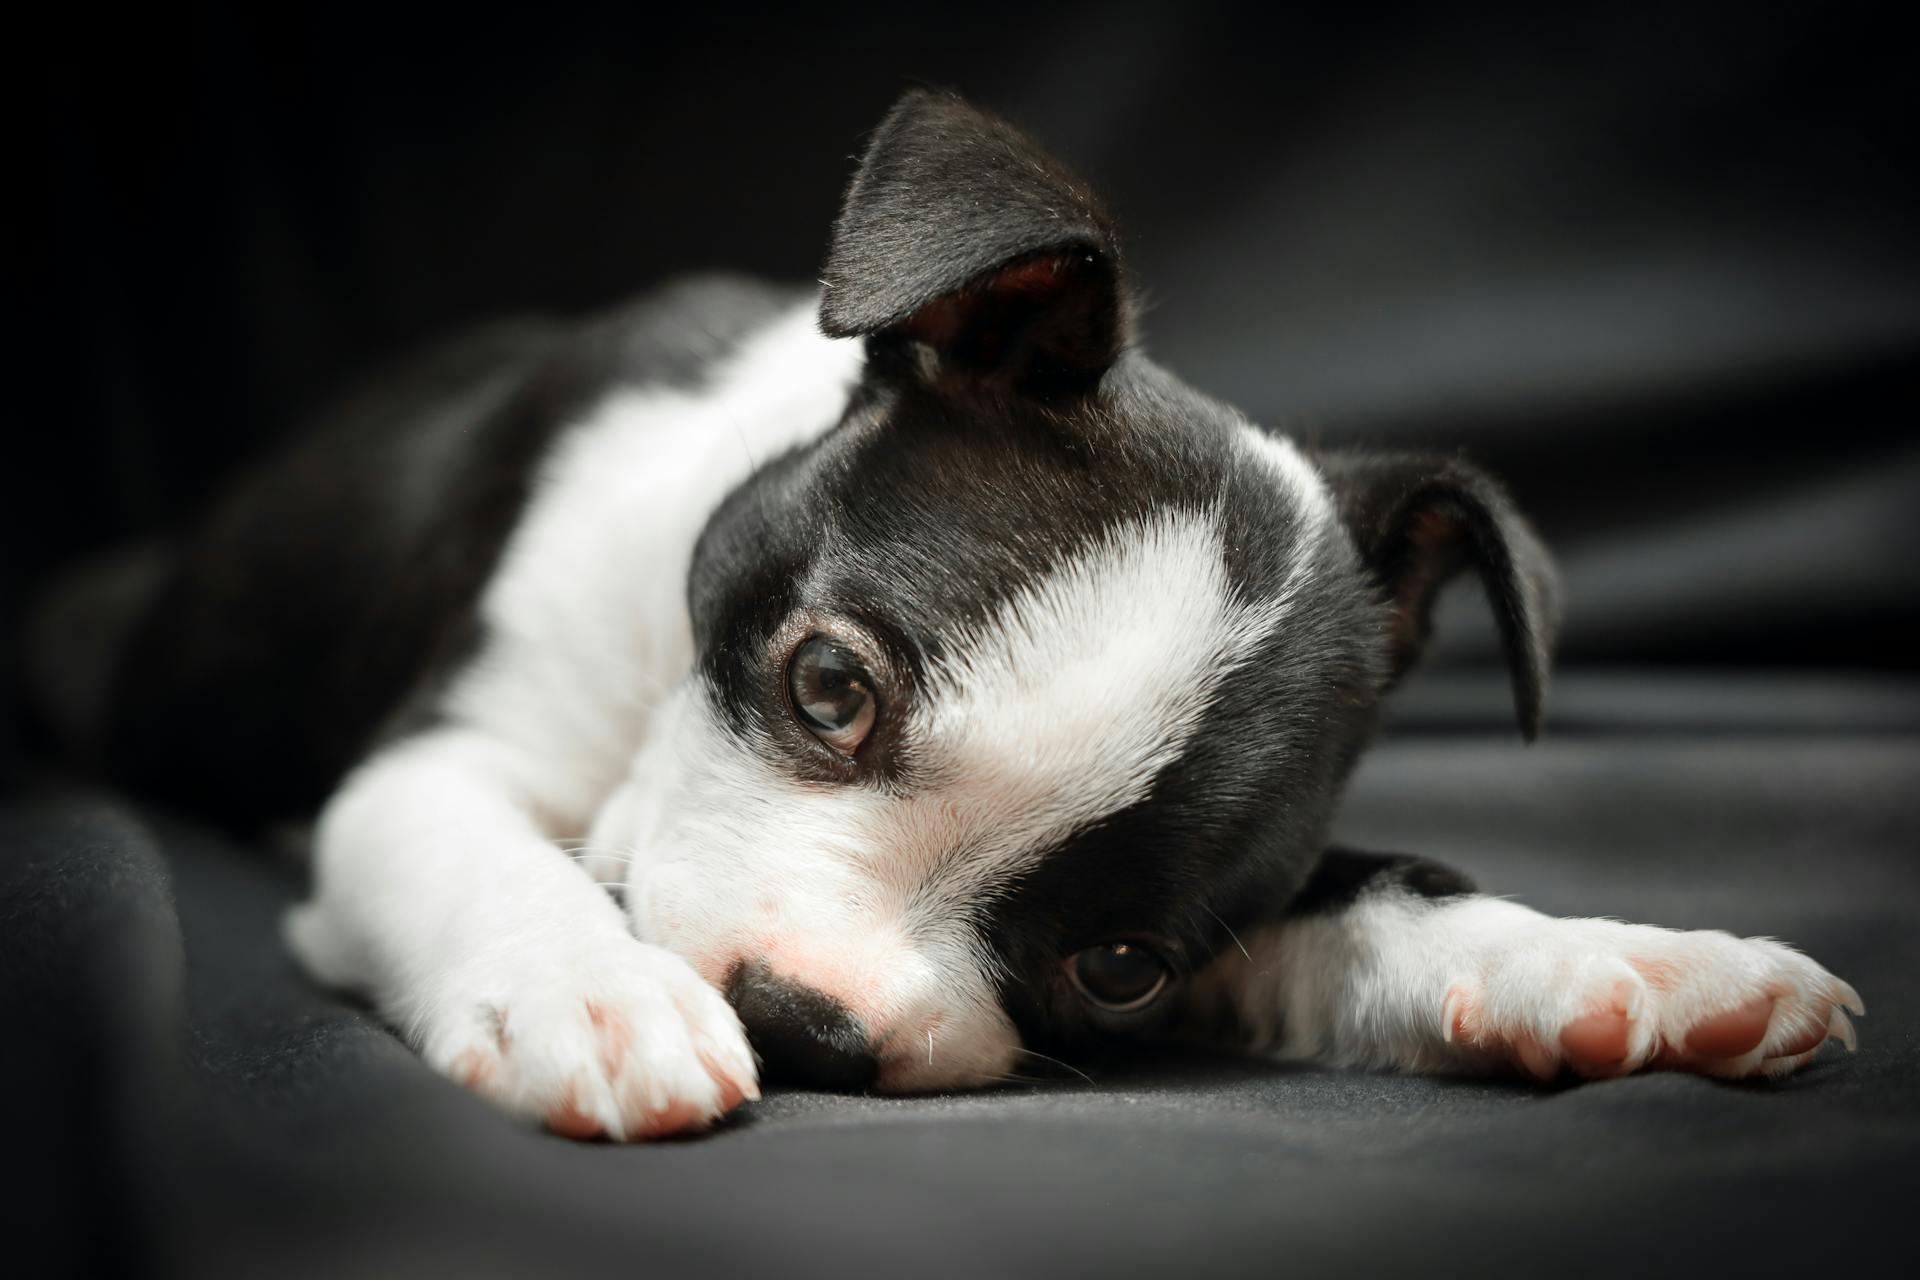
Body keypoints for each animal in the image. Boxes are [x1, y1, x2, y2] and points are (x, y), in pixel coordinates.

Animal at [56, 84, 1858, 1136]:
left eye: (1121, 970)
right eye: (828, 689)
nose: (807, 1026)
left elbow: (1392, 894)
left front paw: (1624, 961)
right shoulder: (434, 764)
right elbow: (484, 852)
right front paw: (593, 991)